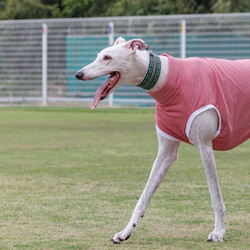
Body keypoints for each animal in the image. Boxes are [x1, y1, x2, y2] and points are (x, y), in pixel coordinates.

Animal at [74, 37, 250, 244]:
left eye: (107, 57)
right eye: (98, 55)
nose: (78, 74)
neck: (167, 78)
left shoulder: (205, 146)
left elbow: (215, 196)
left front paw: (218, 232)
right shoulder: (166, 152)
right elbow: (144, 196)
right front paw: (126, 231)